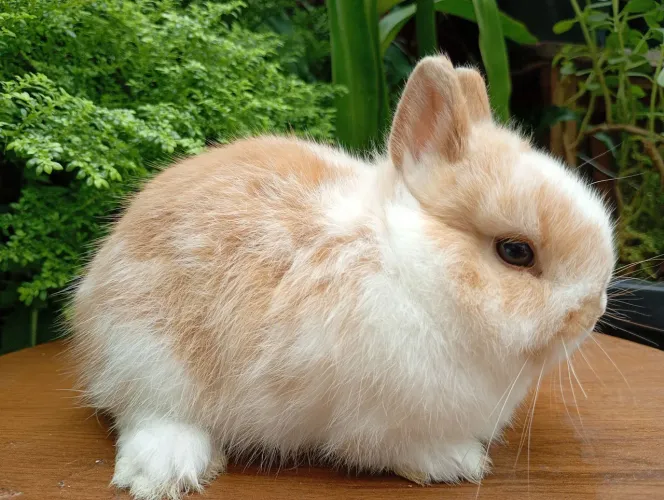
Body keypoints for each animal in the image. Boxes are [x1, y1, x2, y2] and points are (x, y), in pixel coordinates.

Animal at [69, 54, 615, 500]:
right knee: (147, 414)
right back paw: (163, 473)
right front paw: (456, 462)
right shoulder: (376, 418)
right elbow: (392, 448)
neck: (410, 269)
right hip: (152, 359)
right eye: (515, 252)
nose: (592, 312)